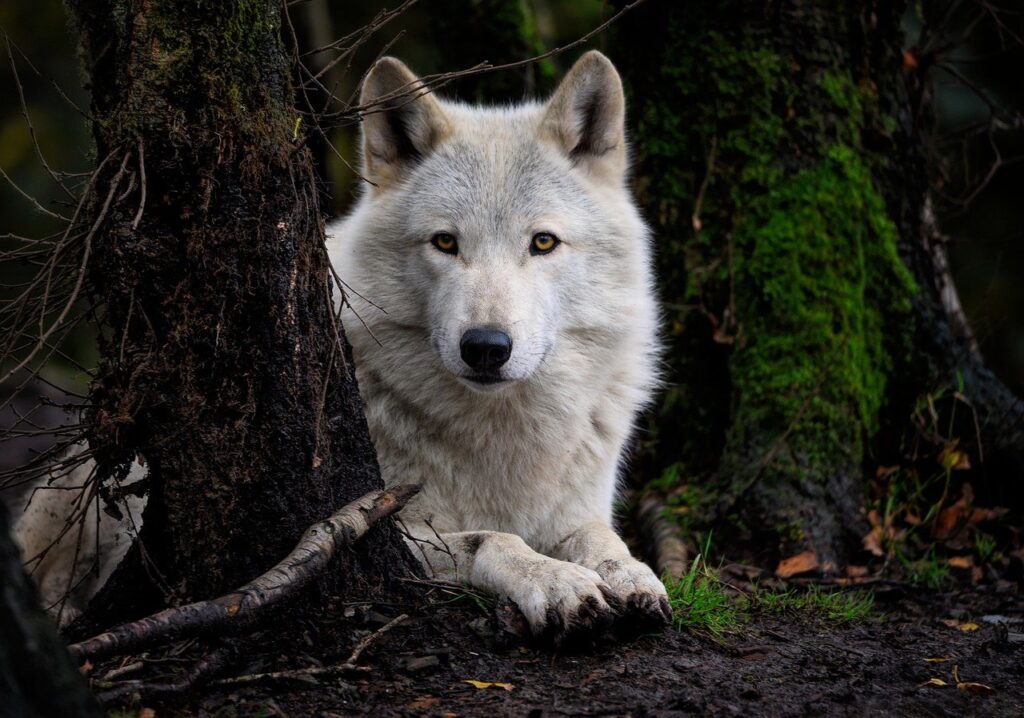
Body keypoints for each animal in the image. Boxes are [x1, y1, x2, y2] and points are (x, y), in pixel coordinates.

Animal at [326, 50, 670, 638]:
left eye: (543, 242)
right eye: (445, 242)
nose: (485, 347)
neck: (503, 436)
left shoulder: (580, 510)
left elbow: (602, 538)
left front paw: (631, 573)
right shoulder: (396, 529)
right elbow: (496, 538)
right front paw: (559, 582)